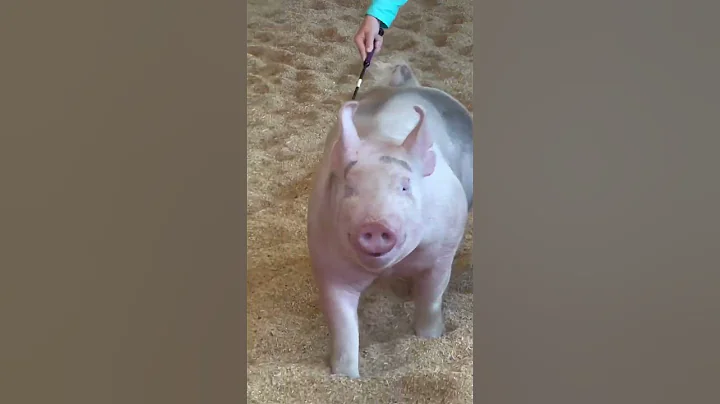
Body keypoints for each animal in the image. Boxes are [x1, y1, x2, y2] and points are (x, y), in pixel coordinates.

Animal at [306, 62, 473, 379]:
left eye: (404, 187)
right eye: (349, 188)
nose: (374, 225)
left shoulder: (444, 248)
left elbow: (431, 297)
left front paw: (430, 338)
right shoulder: (327, 261)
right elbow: (343, 324)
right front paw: (345, 377)